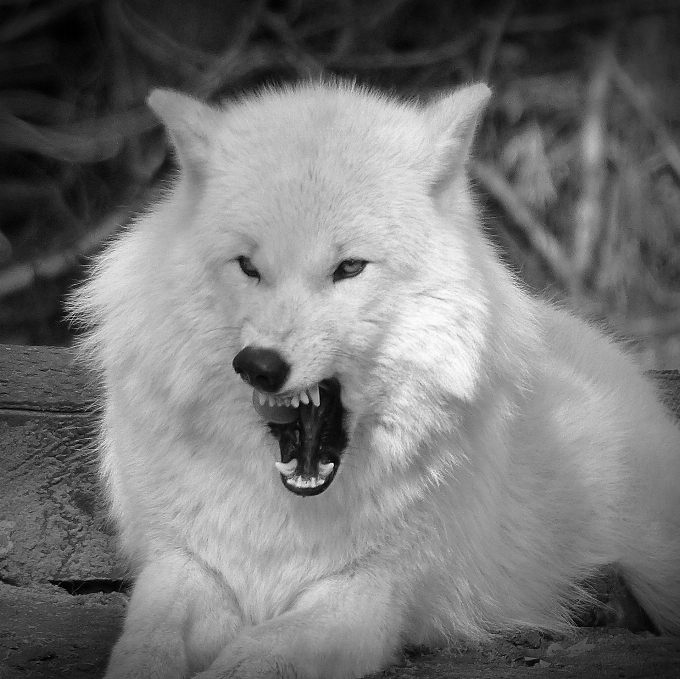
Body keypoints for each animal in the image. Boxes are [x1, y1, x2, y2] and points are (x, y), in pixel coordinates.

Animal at [70, 81, 680, 679]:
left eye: (349, 268)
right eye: (247, 266)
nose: (260, 364)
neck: (287, 515)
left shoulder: (367, 596)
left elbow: (258, 655)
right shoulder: (184, 563)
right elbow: (146, 645)